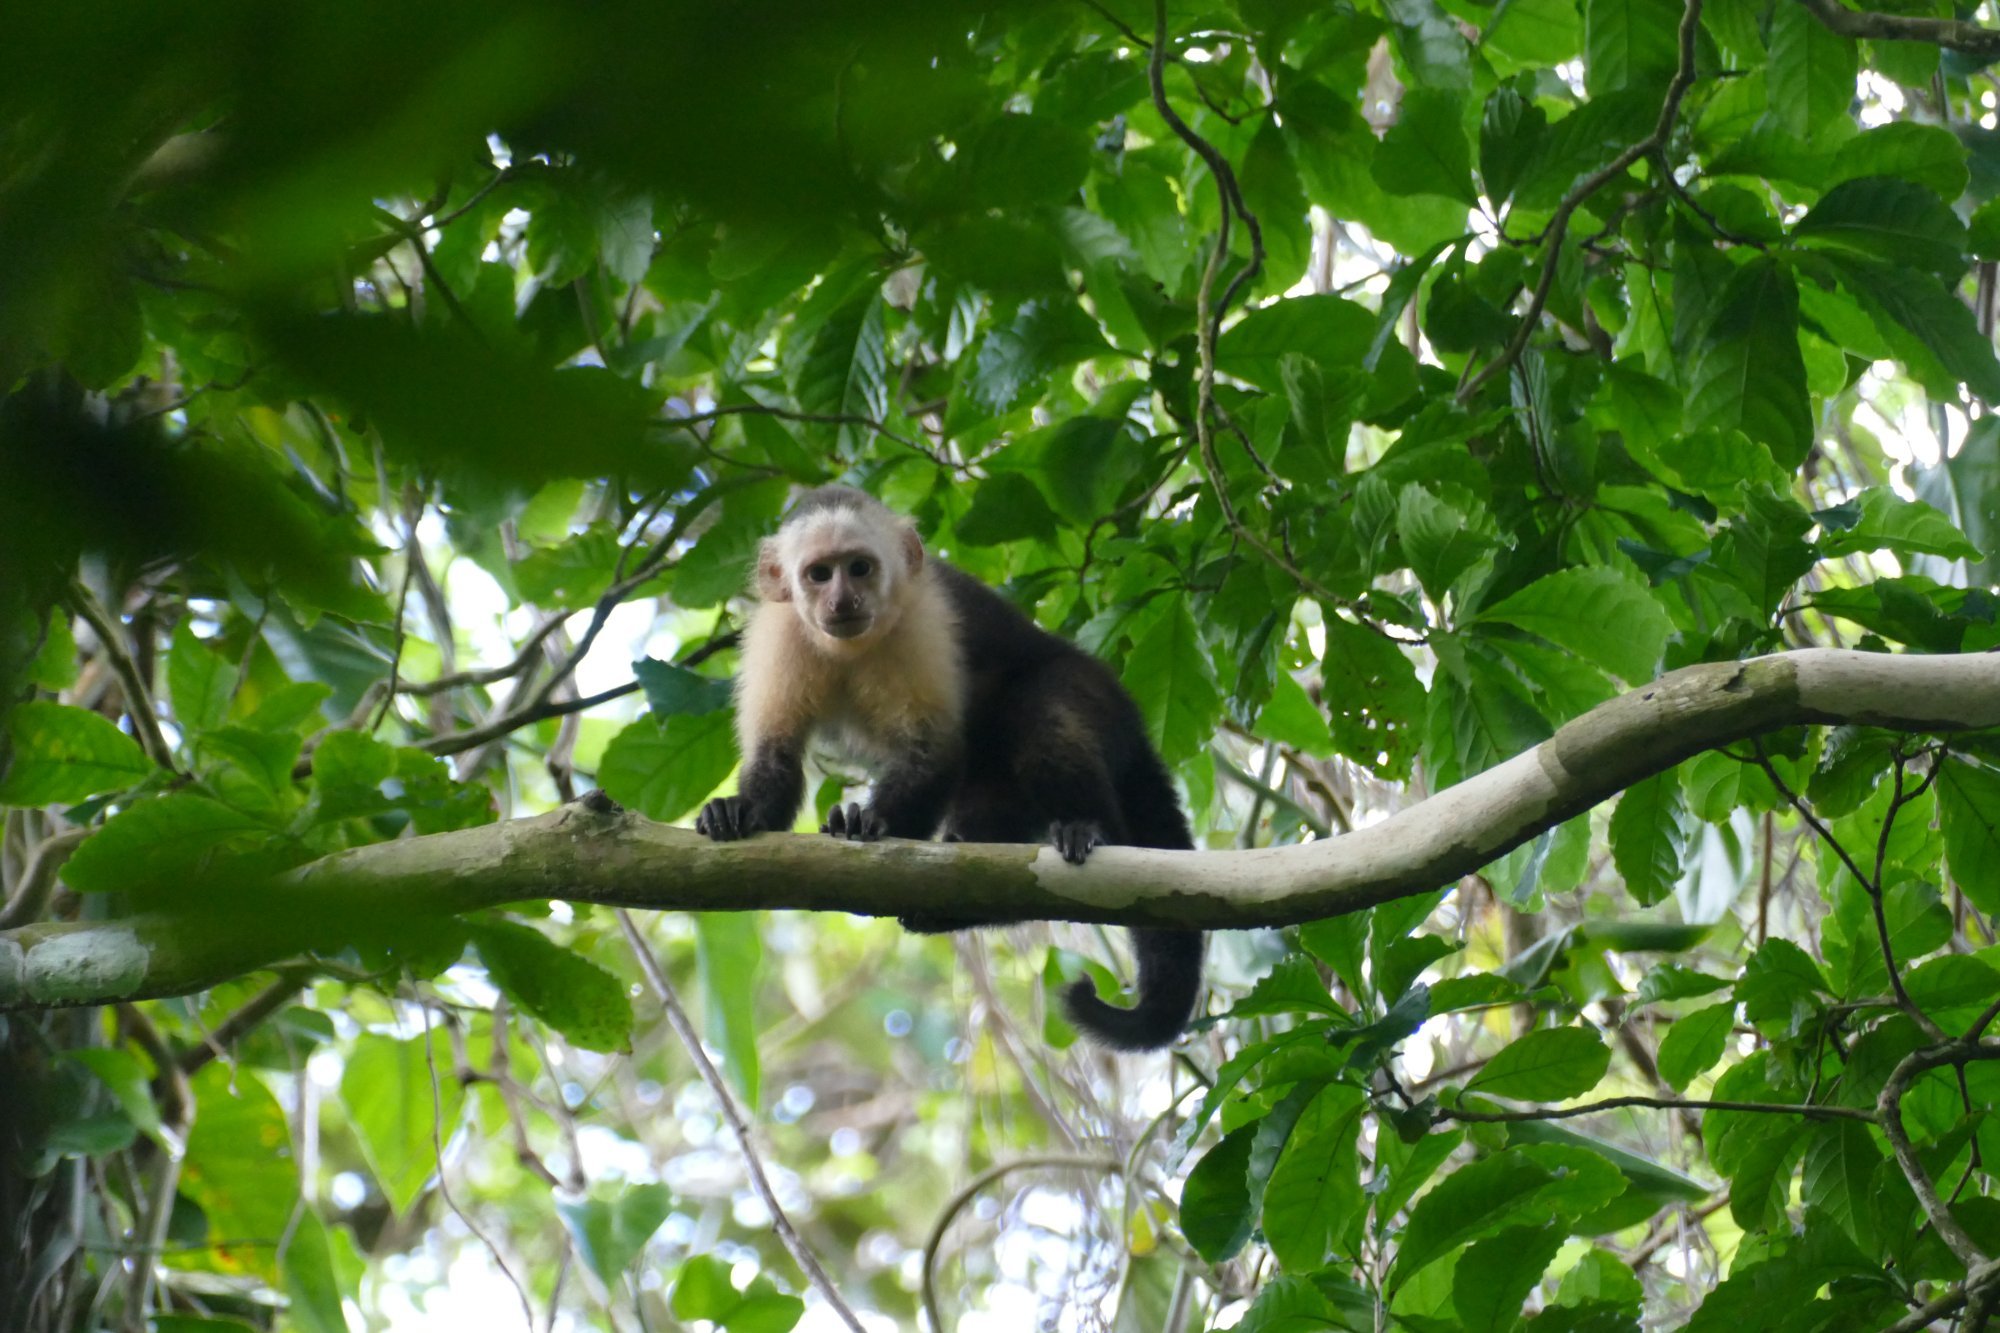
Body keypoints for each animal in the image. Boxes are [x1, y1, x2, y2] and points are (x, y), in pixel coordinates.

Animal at [695, 485, 1204, 1051]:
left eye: (860, 568)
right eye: (819, 574)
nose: (843, 601)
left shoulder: (923, 619)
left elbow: (933, 751)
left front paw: (869, 821)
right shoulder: (778, 634)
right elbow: (776, 754)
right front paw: (741, 811)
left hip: (1093, 695)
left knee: (1044, 714)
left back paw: (1085, 827)